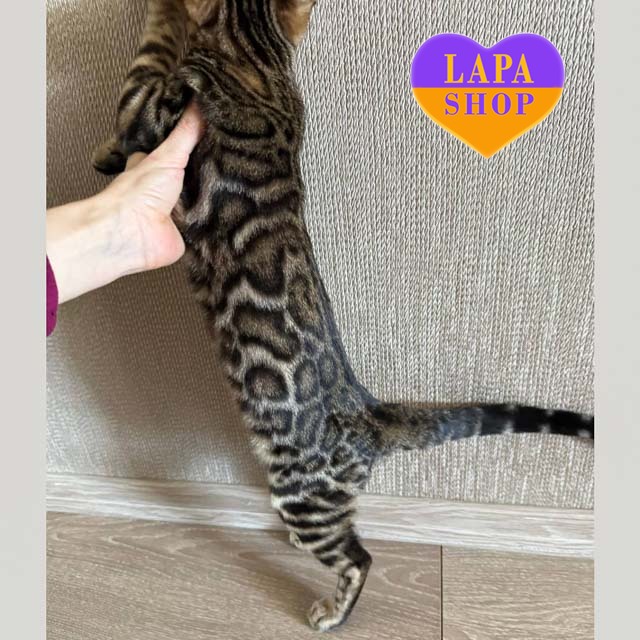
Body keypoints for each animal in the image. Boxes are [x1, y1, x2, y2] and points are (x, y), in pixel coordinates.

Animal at [93, 0, 594, 631]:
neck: (260, 61)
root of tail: (371, 417)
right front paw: (105, 157)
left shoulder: (152, 111)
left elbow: (152, 53)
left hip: (304, 495)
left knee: (358, 556)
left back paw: (331, 612)